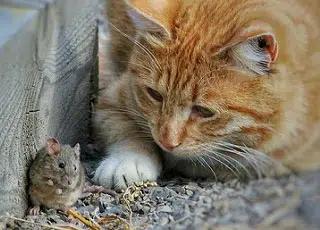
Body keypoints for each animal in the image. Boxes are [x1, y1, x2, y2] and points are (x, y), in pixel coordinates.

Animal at [92, 0, 320, 189]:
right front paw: (128, 160)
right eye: (154, 94)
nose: (167, 143)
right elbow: (124, 128)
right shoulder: (112, 99)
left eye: (204, 111)